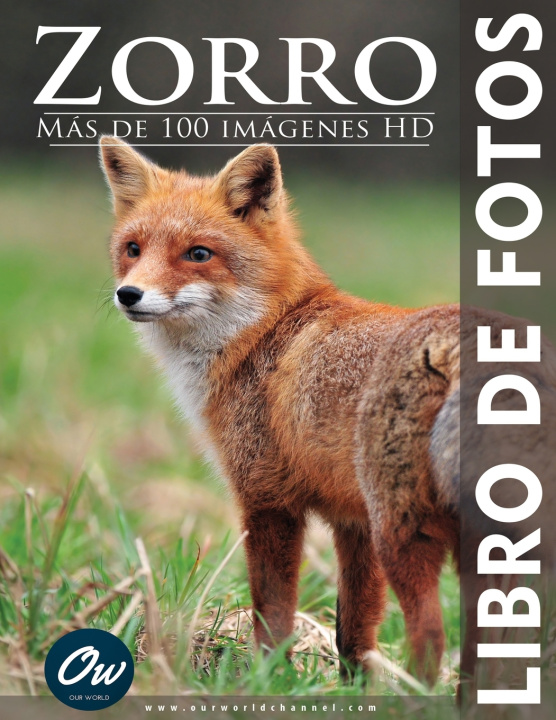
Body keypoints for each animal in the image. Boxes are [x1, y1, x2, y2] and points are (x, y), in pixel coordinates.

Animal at [98, 137, 553, 688]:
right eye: (133, 249)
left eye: (198, 254)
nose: (129, 294)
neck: (265, 332)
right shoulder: (352, 521)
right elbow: (352, 631)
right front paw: (353, 691)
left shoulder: (268, 500)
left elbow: (273, 614)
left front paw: (269, 681)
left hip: (405, 532)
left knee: (430, 637)